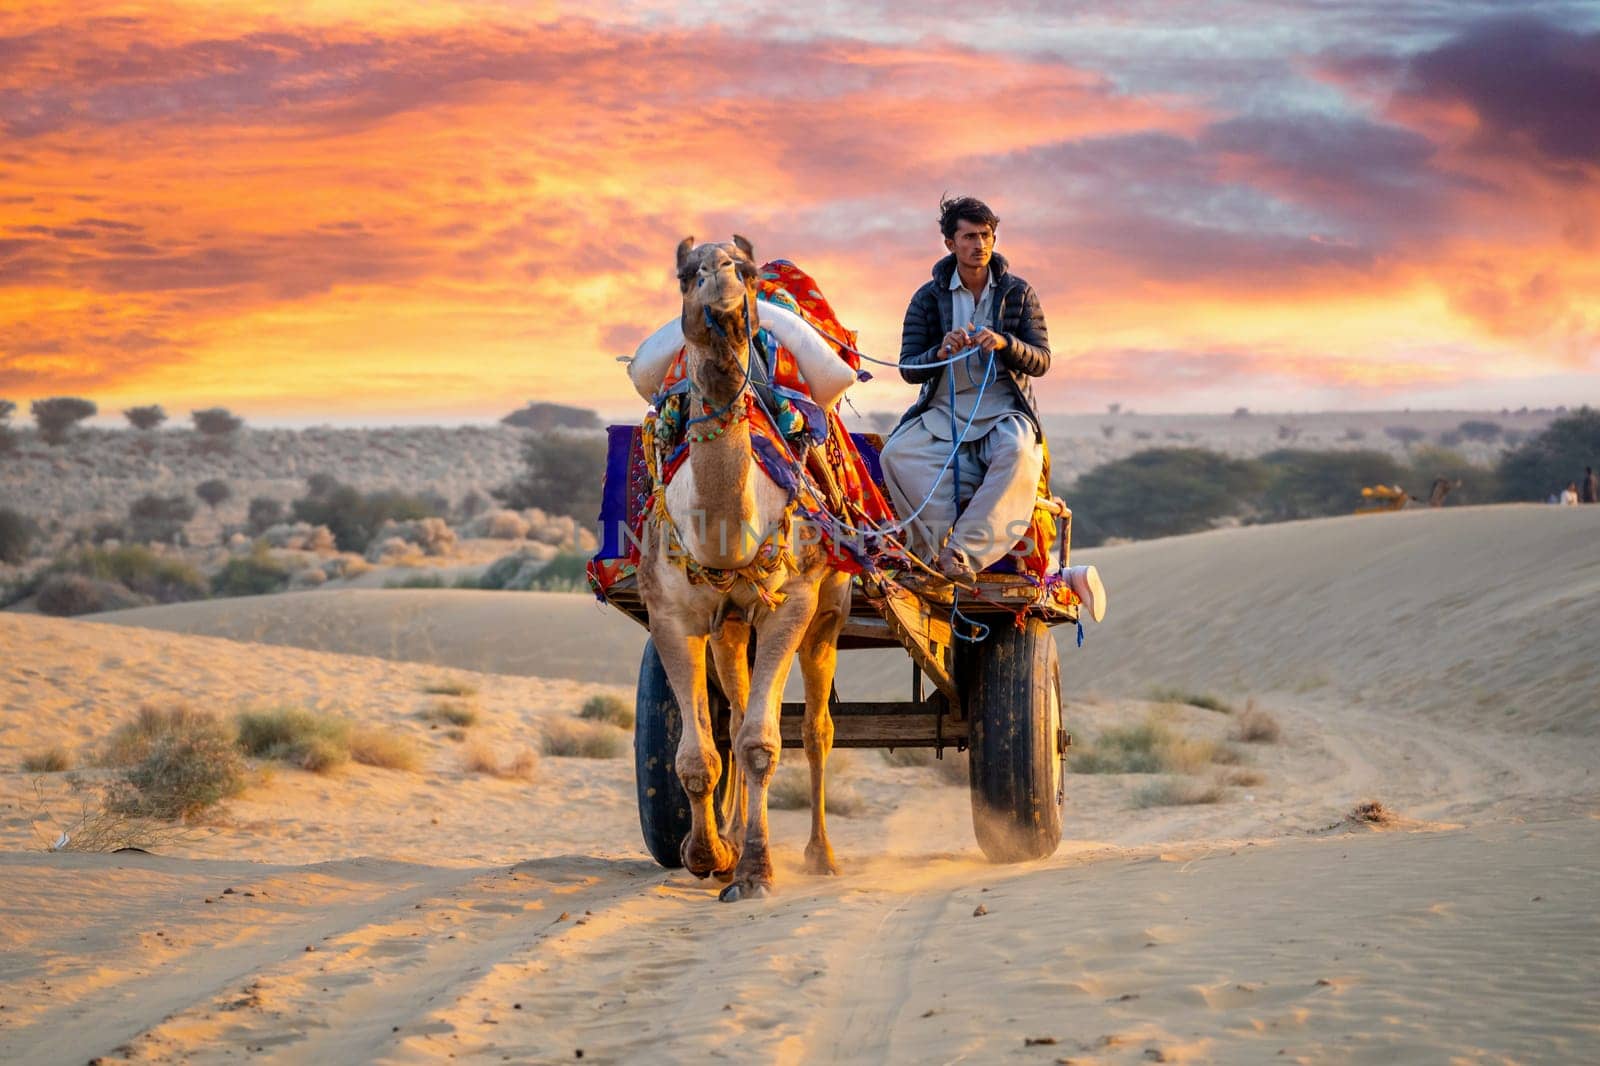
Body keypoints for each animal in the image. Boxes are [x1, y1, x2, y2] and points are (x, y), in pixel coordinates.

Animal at [636, 236, 857, 902]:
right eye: (687, 274)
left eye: (748, 271)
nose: (727, 305)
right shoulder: (671, 614)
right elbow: (699, 754)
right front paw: (709, 854)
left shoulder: (791, 607)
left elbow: (763, 743)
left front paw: (757, 872)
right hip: (730, 625)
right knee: (730, 717)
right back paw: (732, 838)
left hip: (828, 612)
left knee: (816, 730)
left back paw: (820, 854)